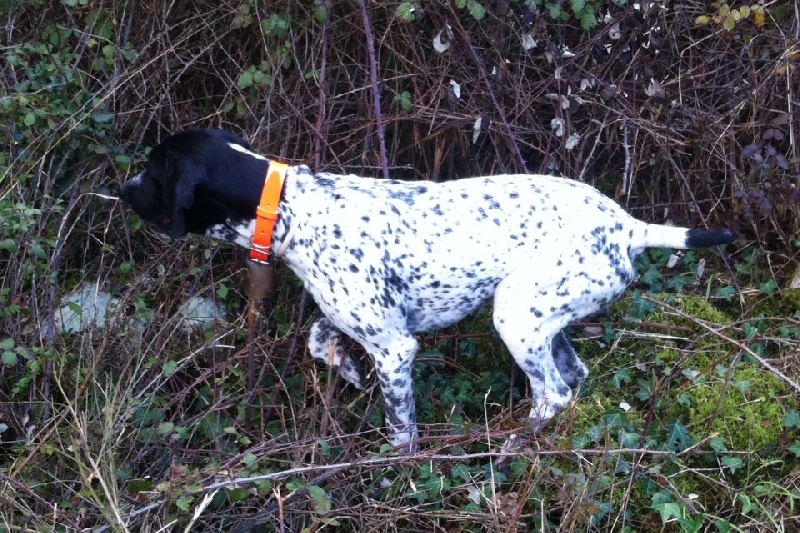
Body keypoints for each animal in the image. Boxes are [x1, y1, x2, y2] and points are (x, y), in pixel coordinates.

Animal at [120, 128, 736, 448]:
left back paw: (509, 447)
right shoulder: (355, 319)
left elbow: (400, 428)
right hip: (542, 317)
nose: (123, 189)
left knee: (553, 394)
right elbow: (319, 338)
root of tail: (627, 225)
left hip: (516, 316)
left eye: (152, 171)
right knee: (573, 378)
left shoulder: (395, 349)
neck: (292, 206)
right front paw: (345, 368)